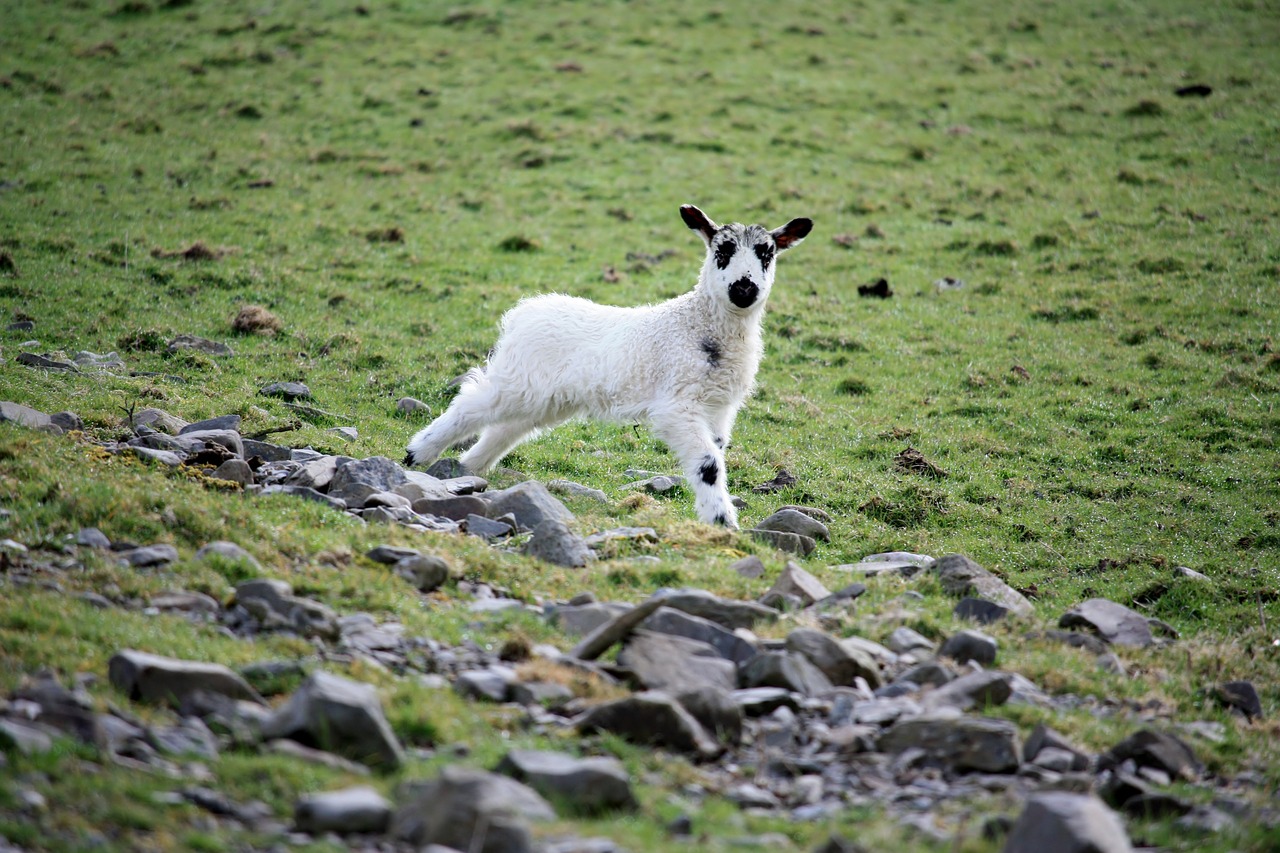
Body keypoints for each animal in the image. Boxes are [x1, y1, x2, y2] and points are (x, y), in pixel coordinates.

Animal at [404, 204, 814, 525]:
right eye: (722, 250)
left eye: (767, 254)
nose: (744, 288)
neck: (701, 325)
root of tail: (524, 310)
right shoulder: (676, 404)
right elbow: (708, 464)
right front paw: (722, 520)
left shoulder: (719, 408)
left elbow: (714, 455)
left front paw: (717, 513)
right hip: (521, 380)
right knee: (472, 402)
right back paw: (418, 452)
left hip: (547, 398)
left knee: (506, 428)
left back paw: (470, 467)